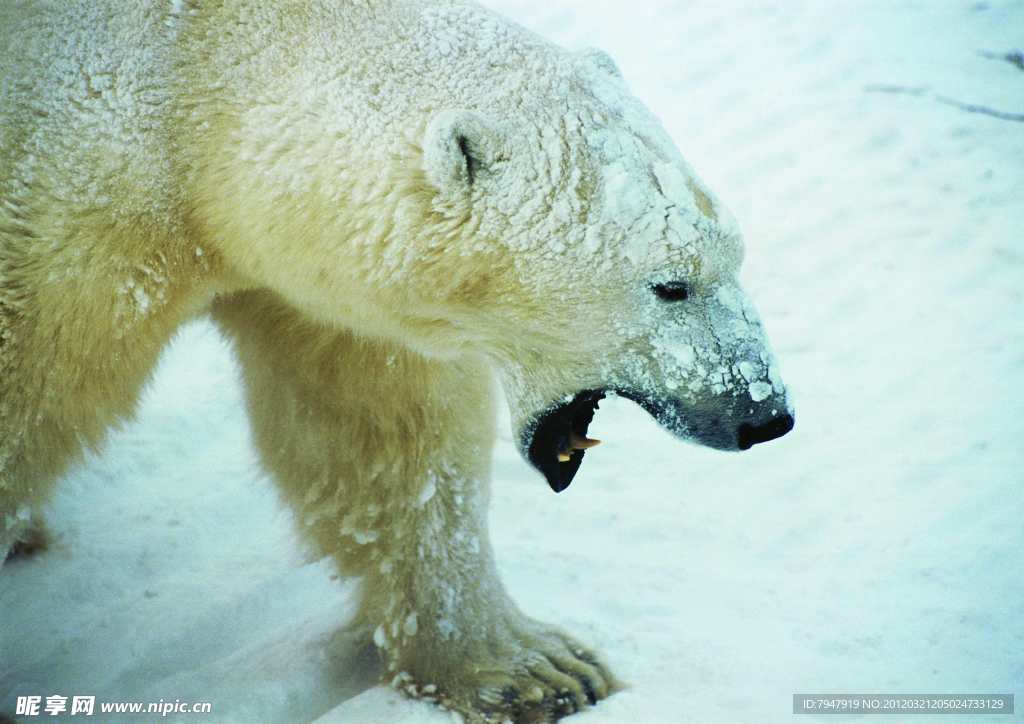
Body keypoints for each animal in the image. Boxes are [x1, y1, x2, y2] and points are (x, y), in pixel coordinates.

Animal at [0, 0, 790, 720]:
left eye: (736, 255)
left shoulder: (328, 291)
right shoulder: (69, 226)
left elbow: (382, 437)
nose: (765, 414)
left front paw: (539, 669)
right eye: (671, 284)